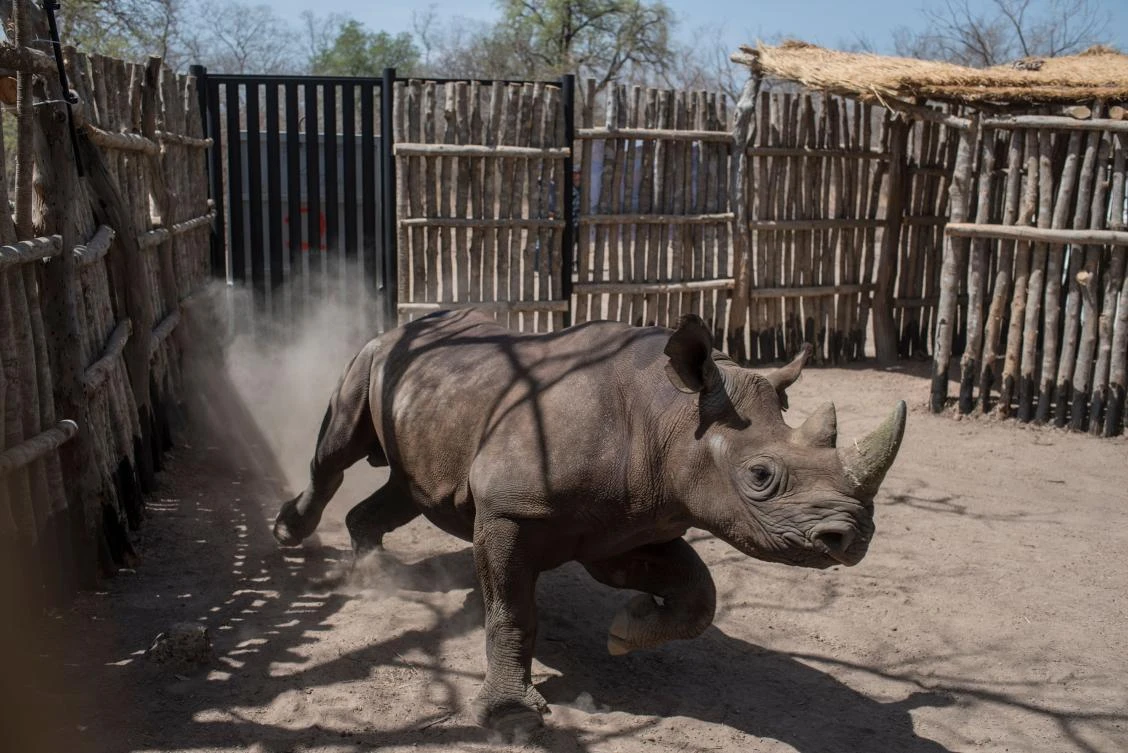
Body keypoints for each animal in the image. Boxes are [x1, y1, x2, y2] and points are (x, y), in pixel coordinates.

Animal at [272, 309, 906, 735]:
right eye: (760, 476)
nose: (850, 537)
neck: (672, 415)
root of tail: (394, 327)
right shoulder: (509, 511)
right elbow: (512, 610)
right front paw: (511, 718)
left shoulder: (631, 524)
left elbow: (699, 596)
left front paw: (628, 629)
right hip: (369, 361)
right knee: (337, 452)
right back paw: (290, 535)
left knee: (409, 489)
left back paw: (379, 575)